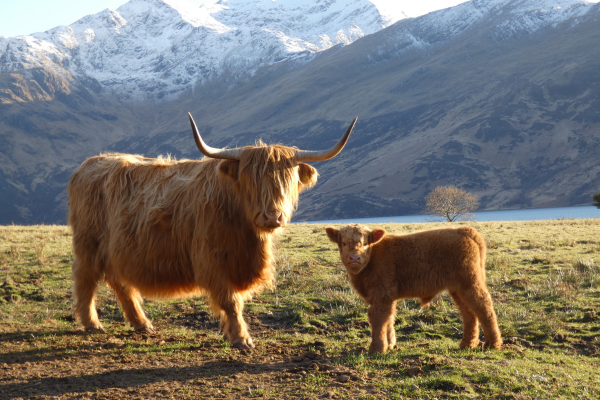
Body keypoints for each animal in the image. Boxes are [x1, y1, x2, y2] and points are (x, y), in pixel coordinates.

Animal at [68, 113, 356, 350]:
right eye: (250, 179)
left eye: (287, 179)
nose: (272, 216)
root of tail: (89, 164)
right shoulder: (211, 260)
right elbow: (231, 301)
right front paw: (242, 339)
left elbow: (235, 300)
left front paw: (232, 334)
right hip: (88, 244)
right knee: (86, 280)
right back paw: (93, 324)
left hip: (116, 249)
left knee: (119, 282)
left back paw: (142, 324)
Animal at [326, 223, 504, 354]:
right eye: (343, 243)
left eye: (365, 243)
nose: (355, 258)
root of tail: (465, 230)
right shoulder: (387, 298)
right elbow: (389, 318)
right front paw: (390, 345)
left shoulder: (382, 295)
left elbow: (378, 319)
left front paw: (377, 349)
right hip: (458, 288)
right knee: (468, 312)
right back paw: (467, 344)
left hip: (470, 282)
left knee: (483, 305)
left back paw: (492, 344)